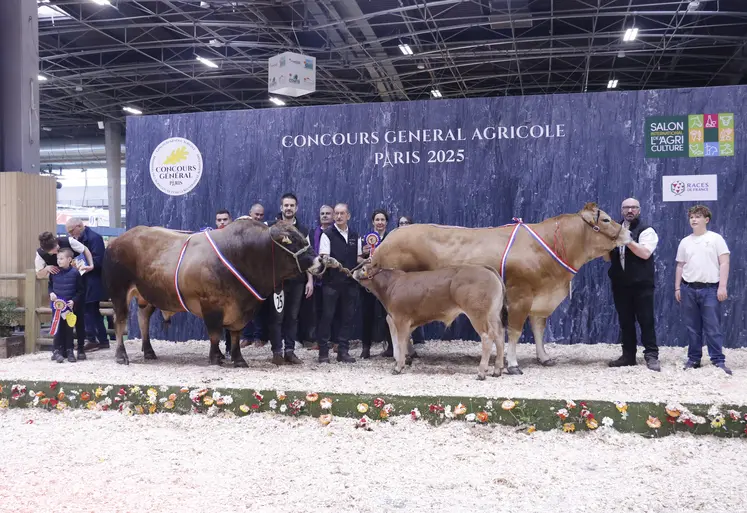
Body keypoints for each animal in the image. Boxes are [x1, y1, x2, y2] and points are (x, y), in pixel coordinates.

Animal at [102, 218, 336, 366]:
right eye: (292, 241)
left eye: (304, 238)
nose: (320, 261)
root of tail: (117, 239)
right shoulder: (211, 304)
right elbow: (215, 334)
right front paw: (216, 357)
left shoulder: (242, 308)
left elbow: (235, 334)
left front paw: (238, 359)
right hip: (119, 291)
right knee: (120, 322)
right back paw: (121, 356)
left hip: (146, 296)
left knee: (143, 320)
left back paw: (149, 351)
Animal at [352, 262, 508, 378]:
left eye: (363, 269)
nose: (353, 271)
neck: (391, 285)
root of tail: (484, 268)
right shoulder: (397, 320)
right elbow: (400, 342)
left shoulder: (401, 318)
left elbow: (401, 342)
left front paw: (398, 367)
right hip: (493, 315)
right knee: (499, 336)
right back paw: (497, 370)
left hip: (478, 314)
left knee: (487, 337)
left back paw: (481, 372)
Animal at [368, 202, 632, 374]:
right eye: (606, 219)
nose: (629, 233)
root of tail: (389, 237)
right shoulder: (519, 297)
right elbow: (514, 332)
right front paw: (512, 365)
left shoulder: (539, 298)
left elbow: (538, 330)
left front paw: (544, 357)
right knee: (394, 323)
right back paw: (402, 357)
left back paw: (408, 354)